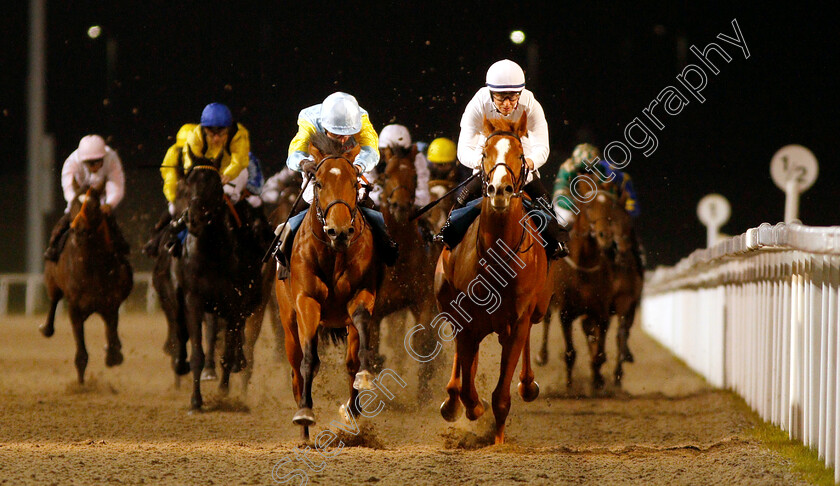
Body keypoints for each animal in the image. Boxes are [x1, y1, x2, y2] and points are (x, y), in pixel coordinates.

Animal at [41, 186, 133, 384]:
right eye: (75, 202)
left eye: (95, 206)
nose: (79, 229)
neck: (92, 268)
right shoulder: (74, 308)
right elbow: (81, 354)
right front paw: (81, 385)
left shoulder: (110, 304)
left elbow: (112, 334)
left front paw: (114, 354)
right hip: (51, 281)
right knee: (53, 300)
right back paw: (46, 328)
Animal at [276, 132, 378, 440]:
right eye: (318, 182)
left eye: (355, 182)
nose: (339, 231)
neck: (333, 254)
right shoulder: (307, 302)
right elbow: (310, 360)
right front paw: (305, 413)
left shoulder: (362, 295)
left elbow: (358, 348)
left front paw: (362, 383)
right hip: (288, 323)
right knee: (296, 368)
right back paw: (304, 431)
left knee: (349, 361)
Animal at [374, 144, 440, 398]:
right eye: (386, 175)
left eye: (414, 176)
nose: (400, 206)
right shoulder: (375, 310)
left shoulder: (423, 300)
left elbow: (423, 342)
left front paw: (424, 394)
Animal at [434, 115, 552, 444]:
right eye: (485, 153)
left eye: (520, 155)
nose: (501, 189)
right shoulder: (466, 321)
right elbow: (466, 384)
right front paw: (472, 407)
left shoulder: (519, 320)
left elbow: (501, 395)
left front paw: (498, 440)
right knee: (462, 365)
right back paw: (452, 402)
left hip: (537, 309)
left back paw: (527, 384)